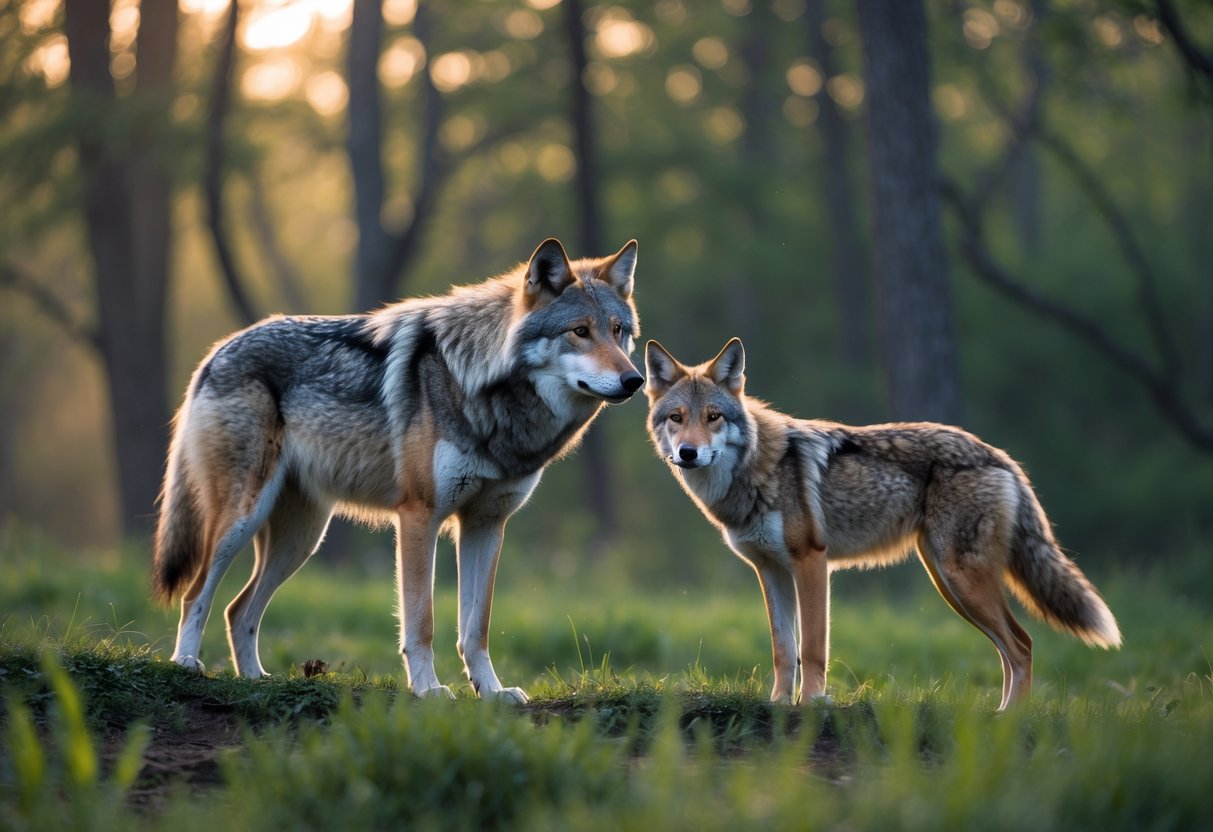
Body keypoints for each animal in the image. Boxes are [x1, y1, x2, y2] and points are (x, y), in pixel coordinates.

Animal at [153, 238, 643, 703]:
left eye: (618, 331)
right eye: (579, 331)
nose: (635, 381)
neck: (484, 390)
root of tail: (220, 348)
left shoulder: (486, 525)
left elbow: (476, 629)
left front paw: (492, 692)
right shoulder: (419, 517)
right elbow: (421, 621)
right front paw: (428, 689)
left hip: (302, 540)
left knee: (239, 609)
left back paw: (255, 678)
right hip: (242, 520)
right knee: (197, 593)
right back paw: (187, 664)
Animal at [644, 338, 1120, 710]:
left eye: (713, 417)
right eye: (677, 418)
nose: (688, 453)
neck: (754, 472)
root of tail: (1001, 456)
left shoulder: (811, 562)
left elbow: (811, 648)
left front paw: (812, 703)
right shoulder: (771, 571)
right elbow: (783, 650)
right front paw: (780, 704)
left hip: (962, 581)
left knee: (1022, 646)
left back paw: (1009, 719)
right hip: (951, 586)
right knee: (1012, 648)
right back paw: (999, 714)